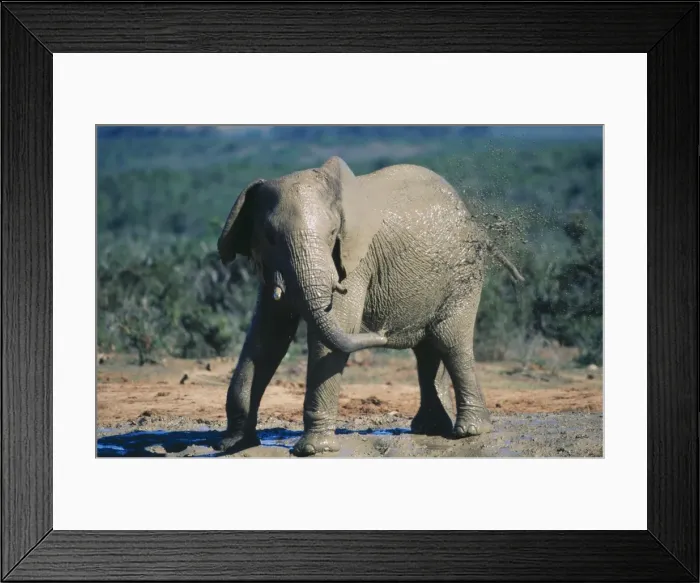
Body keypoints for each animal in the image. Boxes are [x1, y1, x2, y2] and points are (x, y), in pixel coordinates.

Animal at [215, 156, 524, 456]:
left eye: (332, 233)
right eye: (270, 237)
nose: (383, 332)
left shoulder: (355, 263)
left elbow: (336, 331)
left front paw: (313, 450)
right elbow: (267, 338)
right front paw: (232, 444)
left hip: (463, 275)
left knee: (451, 341)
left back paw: (470, 431)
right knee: (427, 348)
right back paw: (430, 429)